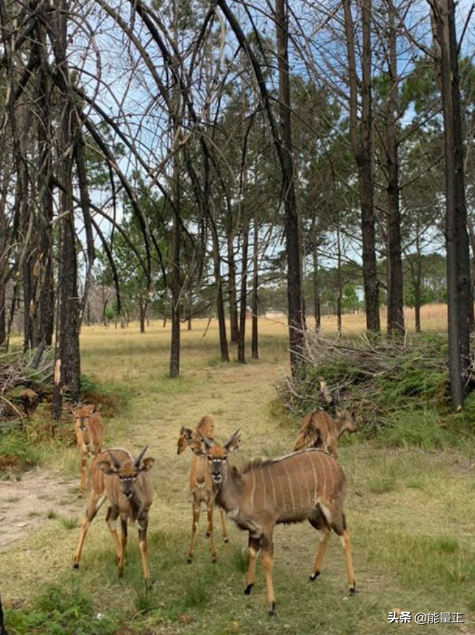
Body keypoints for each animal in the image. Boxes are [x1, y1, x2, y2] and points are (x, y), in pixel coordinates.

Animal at [73, 448, 154, 588]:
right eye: (120, 476)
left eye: (135, 474)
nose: (127, 492)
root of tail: (97, 458)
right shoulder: (124, 514)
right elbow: (124, 538)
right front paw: (120, 571)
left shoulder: (144, 516)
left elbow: (143, 544)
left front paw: (147, 580)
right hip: (97, 494)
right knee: (86, 520)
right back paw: (76, 562)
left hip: (113, 504)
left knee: (108, 519)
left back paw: (122, 557)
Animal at [178, 414, 231, 564]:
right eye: (191, 439)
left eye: (201, 439)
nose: (198, 450)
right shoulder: (195, 501)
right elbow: (194, 525)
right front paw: (189, 556)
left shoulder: (210, 499)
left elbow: (212, 523)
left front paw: (214, 555)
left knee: (220, 510)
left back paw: (225, 537)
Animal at [192, 432, 356, 616]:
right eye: (209, 457)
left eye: (225, 456)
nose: (216, 473)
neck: (242, 492)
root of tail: (338, 466)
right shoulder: (254, 530)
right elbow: (252, 553)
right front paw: (248, 587)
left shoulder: (267, 527)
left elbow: (267, 560)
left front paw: (271, 605)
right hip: (313, 513)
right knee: (325, 532)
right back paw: (313, 574)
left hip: (332, 507)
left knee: (345, 535)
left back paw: (352, 586)